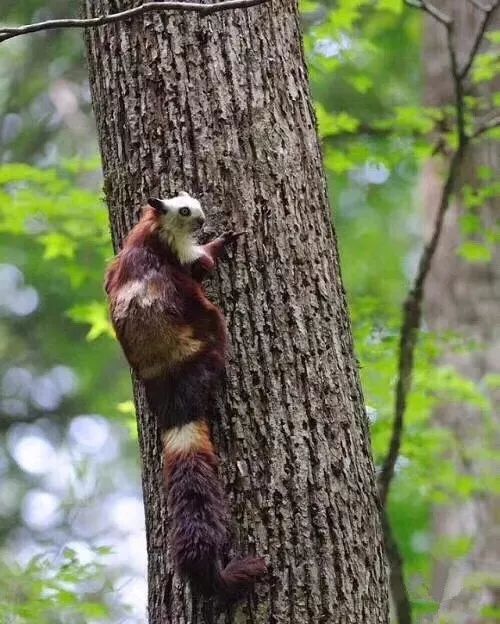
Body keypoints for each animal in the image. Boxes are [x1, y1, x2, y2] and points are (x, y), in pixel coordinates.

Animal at [104, 191, 266, 600]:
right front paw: (222, 242)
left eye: (192, 200)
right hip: (209, 324)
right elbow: (202, 263)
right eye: (185, 210)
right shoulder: (181, 253)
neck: (150, 232)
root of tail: (173, 387)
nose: (203, 220)